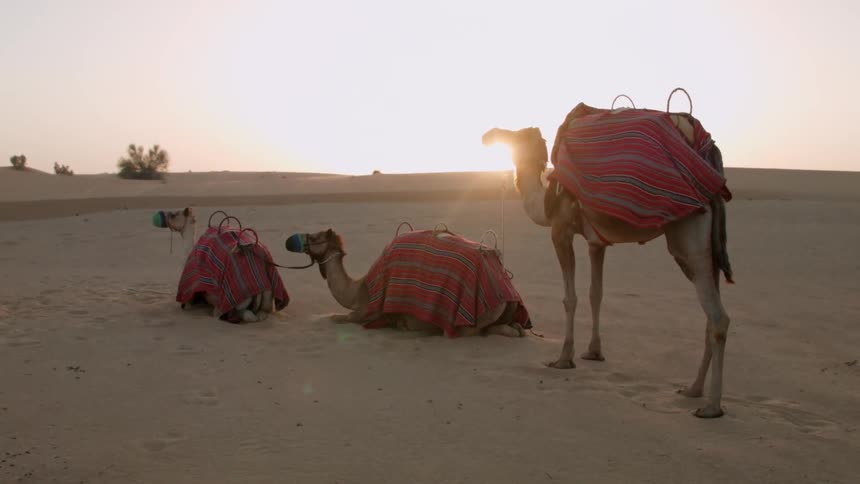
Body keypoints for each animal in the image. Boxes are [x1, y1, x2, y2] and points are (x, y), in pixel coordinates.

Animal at [285, 228, 528, 338]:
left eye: (314, 237)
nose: (289, 240)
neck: (359, 289)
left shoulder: (367, 312)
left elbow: (337, 318)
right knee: (516, 329)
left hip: (472, 321)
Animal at [481, 114, 734, 418]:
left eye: (515, 135)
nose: (488, 135)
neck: (544, 200)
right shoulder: (596, 243)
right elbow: (596, 294)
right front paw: (593, 352)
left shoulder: (560, 230)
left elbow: (570, 298)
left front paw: (564, 358)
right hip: (708, 251)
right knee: (710, 314)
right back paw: (693, 389)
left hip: (689, 237)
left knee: (718, 318)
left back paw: (711, 406)